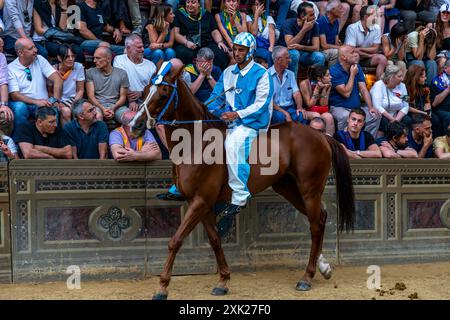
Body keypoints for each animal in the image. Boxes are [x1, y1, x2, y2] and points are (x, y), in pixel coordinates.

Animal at [130, 60, 356, 300]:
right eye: (145, 91)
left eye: (163, 92)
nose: (135, 125)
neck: (196, 143)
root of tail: (321, 135)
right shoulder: (200, 203)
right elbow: (215, 240)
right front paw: (223, 280)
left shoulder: (200, 201)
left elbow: (175, 241)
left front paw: (162, 287)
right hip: (288, 188)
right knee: (320, 219)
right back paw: (323, 267)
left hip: (309, 189)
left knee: (315, 225)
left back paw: (307, 277)